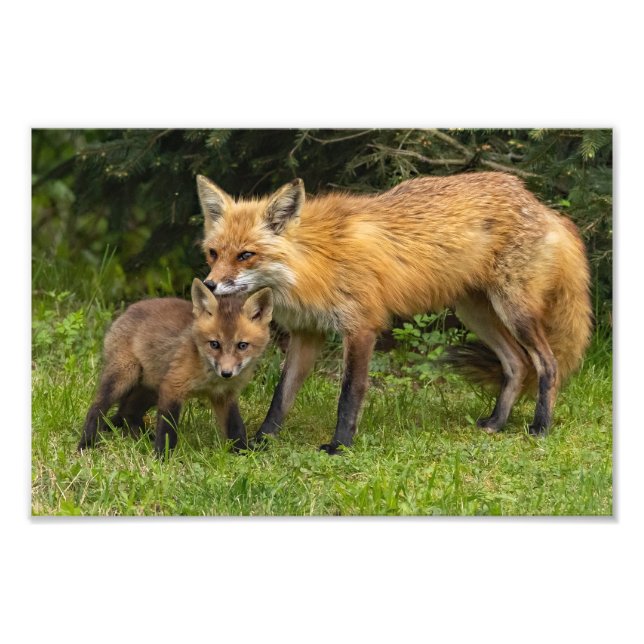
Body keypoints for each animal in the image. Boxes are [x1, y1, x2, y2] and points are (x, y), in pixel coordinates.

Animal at [77, 279, 273, 456]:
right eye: (214, 344)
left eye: (242, 345)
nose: (226, 373)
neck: (209, 377)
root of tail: (128, 309)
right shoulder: (173, 387)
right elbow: (167, 430)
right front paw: (161, 458)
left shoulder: (225, 395)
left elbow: (236, 426)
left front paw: (243, 453)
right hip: (126, 376)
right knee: (97, 408)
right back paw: (86, 444)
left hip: (152, 388)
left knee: (127, 412)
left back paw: (141, 437)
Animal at [195, 171, 592, 454]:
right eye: (213, 253)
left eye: (246, 255)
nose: (210, 285)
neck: (315, 260)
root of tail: (541, 205)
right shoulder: (308, 333)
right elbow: (281, 398)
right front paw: (259, 443)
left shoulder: (361, 326)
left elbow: (350, 393)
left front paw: (340, 447)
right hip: (475, 313)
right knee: (516, 364)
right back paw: (496, 422)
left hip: (514, 311)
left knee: (547, 363)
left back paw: (541, 427)